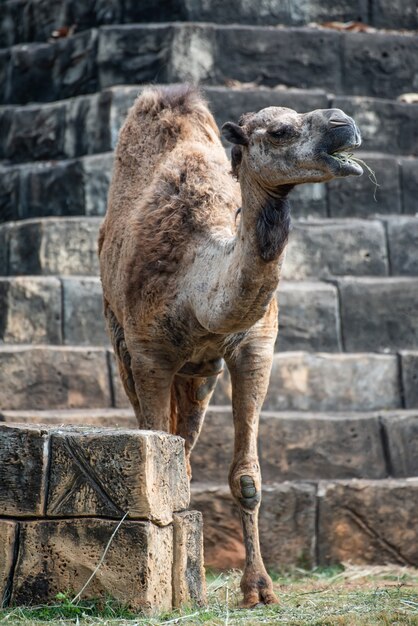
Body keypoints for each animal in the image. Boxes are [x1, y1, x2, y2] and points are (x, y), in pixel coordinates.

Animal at [99, 85, 362, 608]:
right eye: (280, 131)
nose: (345, 123)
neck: (198, 284)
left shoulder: (254, 348)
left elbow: (246, 478)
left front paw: (259, 589)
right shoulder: (148, 354)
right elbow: (156, 463)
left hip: (202, 375)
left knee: (186, 446)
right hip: (120, 342)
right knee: (161, 440)